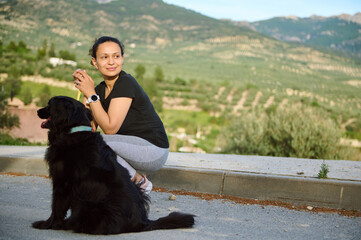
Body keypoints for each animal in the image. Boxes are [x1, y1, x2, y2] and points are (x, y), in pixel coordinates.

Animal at [32, 95, 195, 234]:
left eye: (49, 104)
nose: (37, 111)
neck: (73, 130)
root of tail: (143, 222)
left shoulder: (62, 182)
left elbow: (57, 207)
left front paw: (47, 225)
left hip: (86, 204)